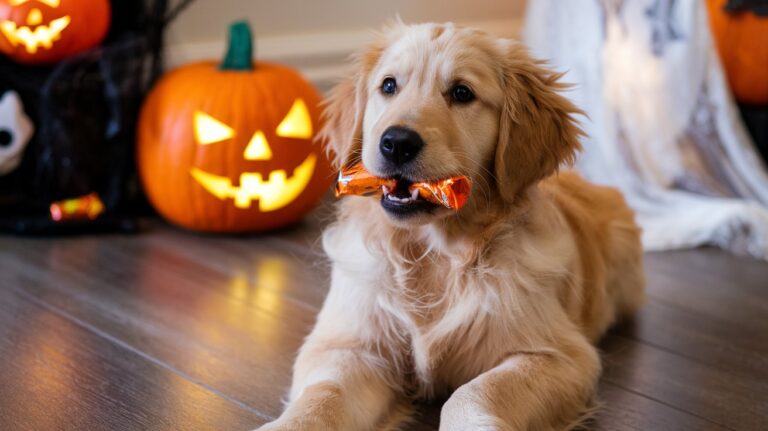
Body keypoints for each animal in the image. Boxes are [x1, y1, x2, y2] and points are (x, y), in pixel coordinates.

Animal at [256, 21, 640, 431]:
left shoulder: (559, 355)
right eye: (388, 86)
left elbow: (471, 393)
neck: (432, 253)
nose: (396, 142)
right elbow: (323, 395)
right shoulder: (347, 345)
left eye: (461, 92)